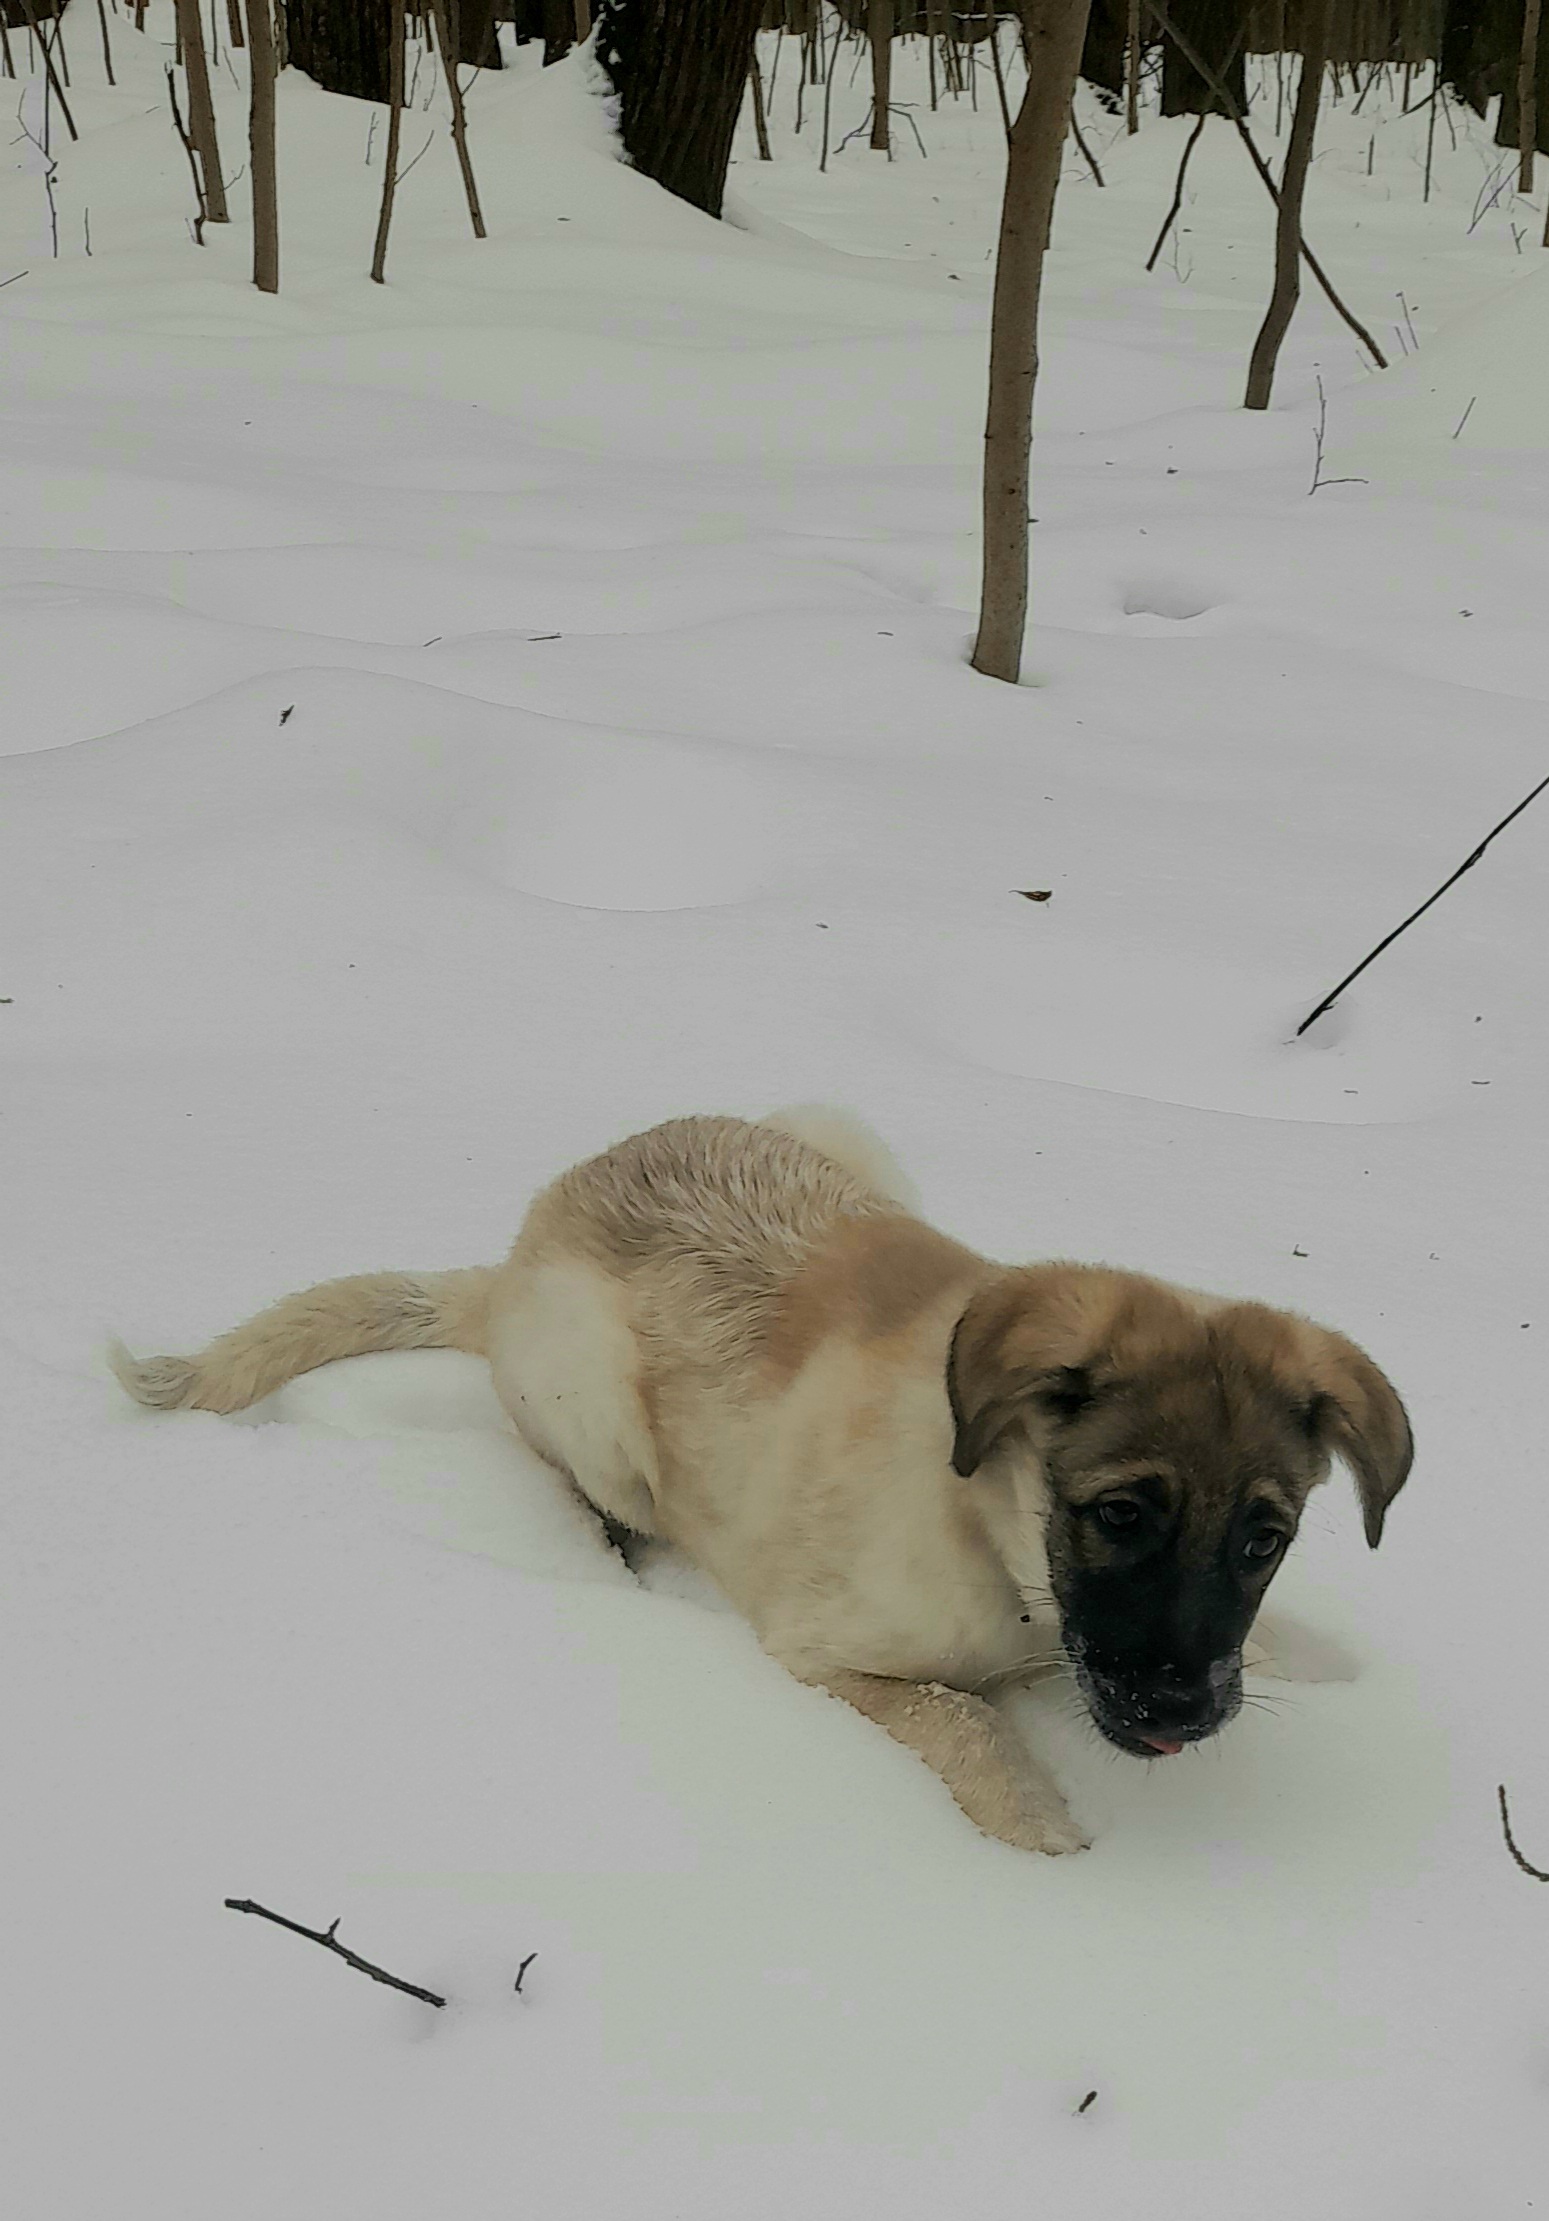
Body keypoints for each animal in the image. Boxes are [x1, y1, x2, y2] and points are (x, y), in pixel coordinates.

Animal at [115, 1110, 1404, 1856]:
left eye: (1264, 1538)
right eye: (1121, 1514)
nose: (1182, 1713)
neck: (998, 1548)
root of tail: (519, 1249)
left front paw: (1307, 1657)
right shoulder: (826, 1655)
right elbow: (965, 1722)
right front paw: (1042, 1835)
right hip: (596, 1407)